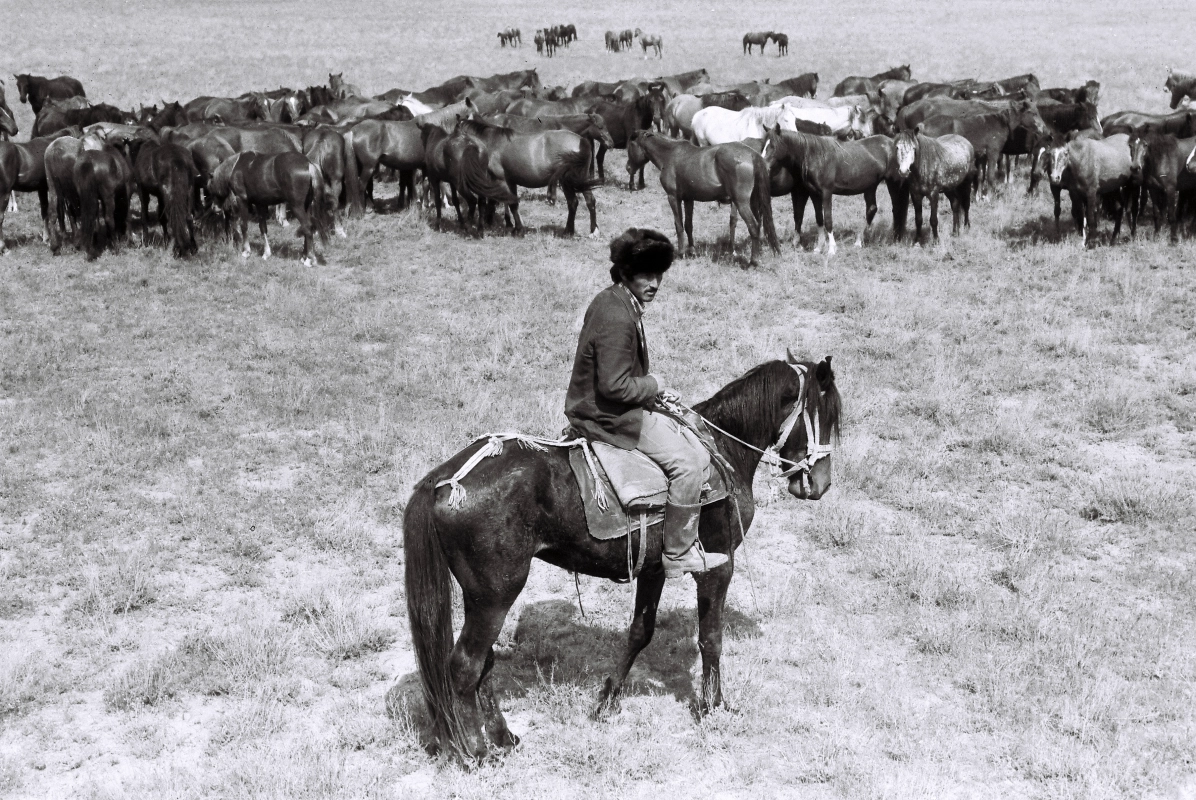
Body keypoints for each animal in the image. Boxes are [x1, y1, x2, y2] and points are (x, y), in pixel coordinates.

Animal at [406, 351, 837, 760]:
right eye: (828, 414)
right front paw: (713, 705)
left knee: (485, 663)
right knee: (464, 666)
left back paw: (502, 738)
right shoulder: (718, 566)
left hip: (481, 598)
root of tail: (442, 480)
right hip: (495, 596)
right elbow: (710, 638)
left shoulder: (654, 569)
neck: (722, 450)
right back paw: (476, 751)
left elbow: (640, 632)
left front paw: (608, 698)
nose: (820, 485)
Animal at [621, 130, 779, 265]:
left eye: (630, 146)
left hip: (741, 203)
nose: (628, 168)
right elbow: (688, 225)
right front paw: (692, 251)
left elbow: (679, 225)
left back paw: (753, 261)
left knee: (753, 226)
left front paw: (681, 253)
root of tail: (752, 154)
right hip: (753, 201)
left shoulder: (673, 197)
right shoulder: (688, 199)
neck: (670, 154)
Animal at [760, 125, 899, 252]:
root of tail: (891, 142)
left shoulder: (826, 193)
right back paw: (859, 242)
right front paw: (819, 247)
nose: (762, 166)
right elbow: (819, 219)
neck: (816, 156)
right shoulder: (814, 194)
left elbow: (827, 219)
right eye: (763, 145)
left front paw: (831, 249)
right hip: (870, 187)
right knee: (871, 209)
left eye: (773, 145)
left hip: (891, 183)